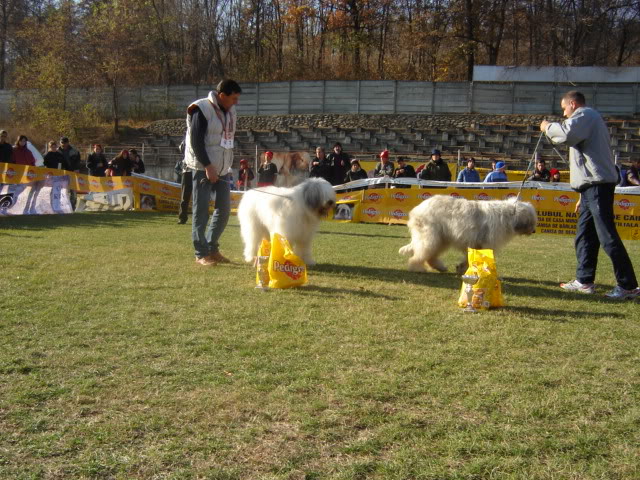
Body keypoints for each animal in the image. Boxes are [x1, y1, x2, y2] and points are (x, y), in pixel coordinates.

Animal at [398, 195, 536, 274]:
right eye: (531, 220)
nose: (534, 231)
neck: (509, 216)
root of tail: (417, 209)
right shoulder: (488, 244)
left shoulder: (477, 245)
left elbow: (469, 259)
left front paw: (461, 268)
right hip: (430, 236)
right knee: (421, 254)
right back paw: (416, 267)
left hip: (441, 238)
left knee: (431, 256)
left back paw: (440, 267)